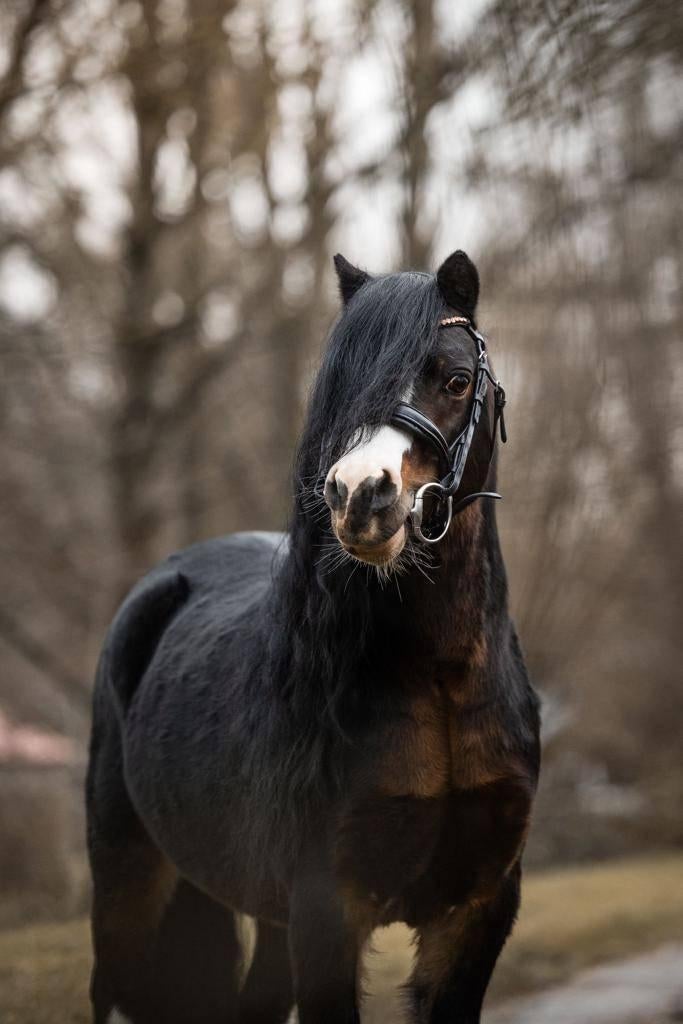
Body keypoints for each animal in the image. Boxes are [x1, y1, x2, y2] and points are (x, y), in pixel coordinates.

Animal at [86, 248, 540, 1024]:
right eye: (344, 386)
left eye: (455, 379)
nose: (360, 496)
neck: (441, 683)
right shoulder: (326, 914)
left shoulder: (475, 910)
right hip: (126, 881)